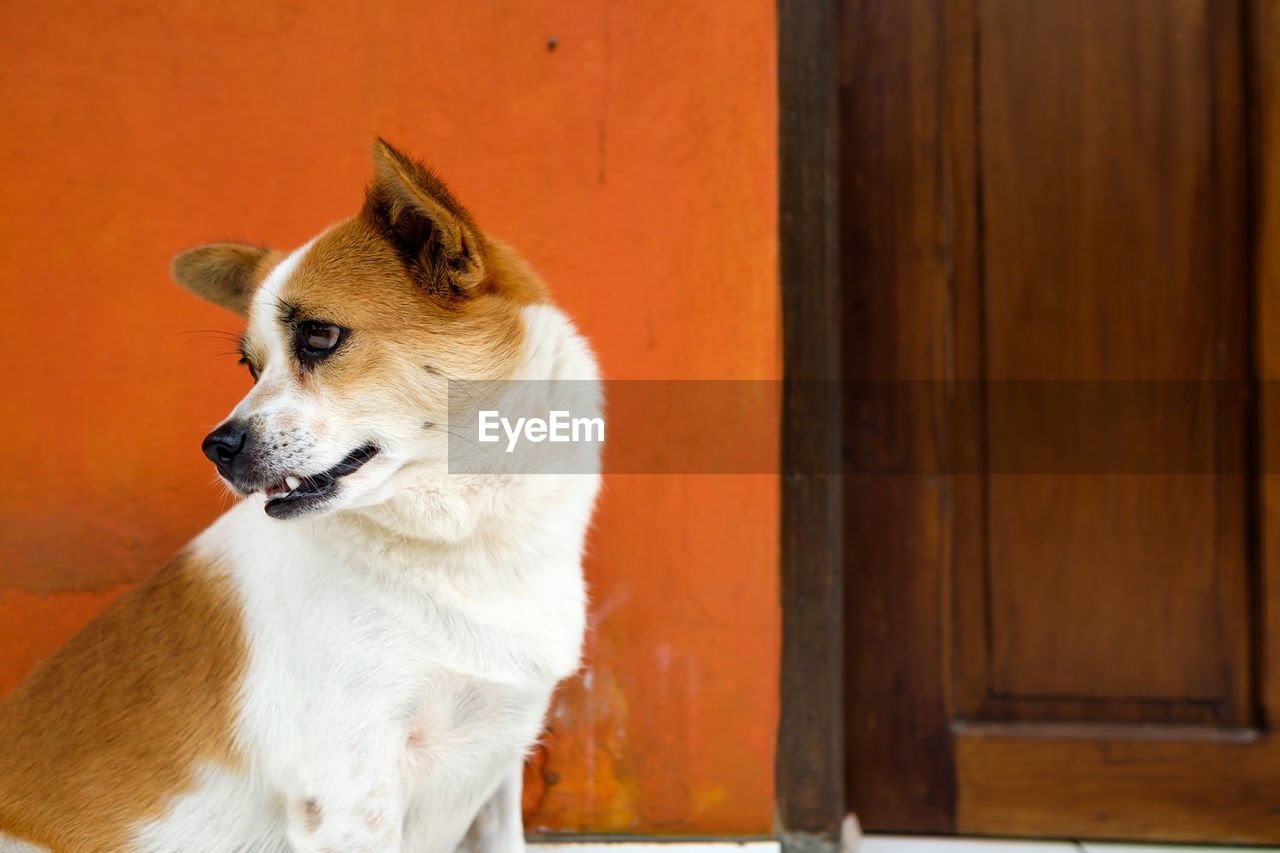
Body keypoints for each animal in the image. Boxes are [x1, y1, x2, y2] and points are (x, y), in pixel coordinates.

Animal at [0, 140, 604, 850]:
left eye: (319, 336)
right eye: (250, 367)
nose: (216, 447)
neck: (466, 545)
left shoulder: (498, 766)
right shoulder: (348, 795)